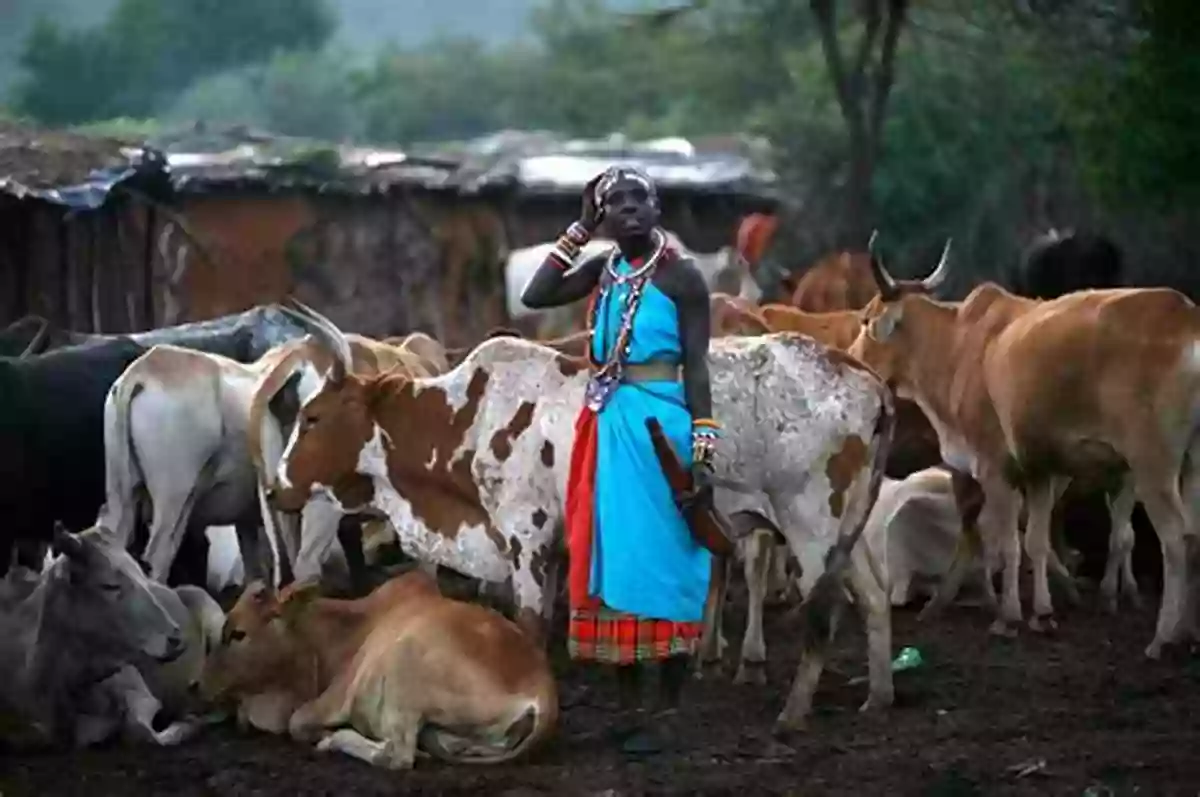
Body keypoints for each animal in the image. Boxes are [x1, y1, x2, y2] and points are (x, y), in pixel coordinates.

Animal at [202, 568, 561, 768]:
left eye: (238, 633)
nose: (199, 685)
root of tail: (543, 689)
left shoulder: (336, 695)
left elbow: (297, 724)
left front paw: (326, 735)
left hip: (404, 662)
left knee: (396, 756)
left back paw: (341, 741)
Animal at [267, 302, 897, 729]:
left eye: (314, 417)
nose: (274, 489)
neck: (470, 415)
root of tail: (867, 380)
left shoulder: (526, 538)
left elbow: (528, 624)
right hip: (849, 533)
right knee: (874, 599)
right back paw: (879, 695)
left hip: (811, 526)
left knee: (823, 617)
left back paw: (792, 714)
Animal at [849, 242, 1200, 657]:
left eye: (867, 321)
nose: (849, 358)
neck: (959, 346)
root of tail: (1185, 317)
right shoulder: (1039, 471)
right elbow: (1035, 542)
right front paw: (1042, 614)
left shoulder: (994, 469)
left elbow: (1008, 547)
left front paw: (1009, 617)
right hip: (1192, 462)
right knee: (1193, 536)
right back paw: (1189, 633)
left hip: (1152, 465)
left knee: (1176, 539)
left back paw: (1163, 637)